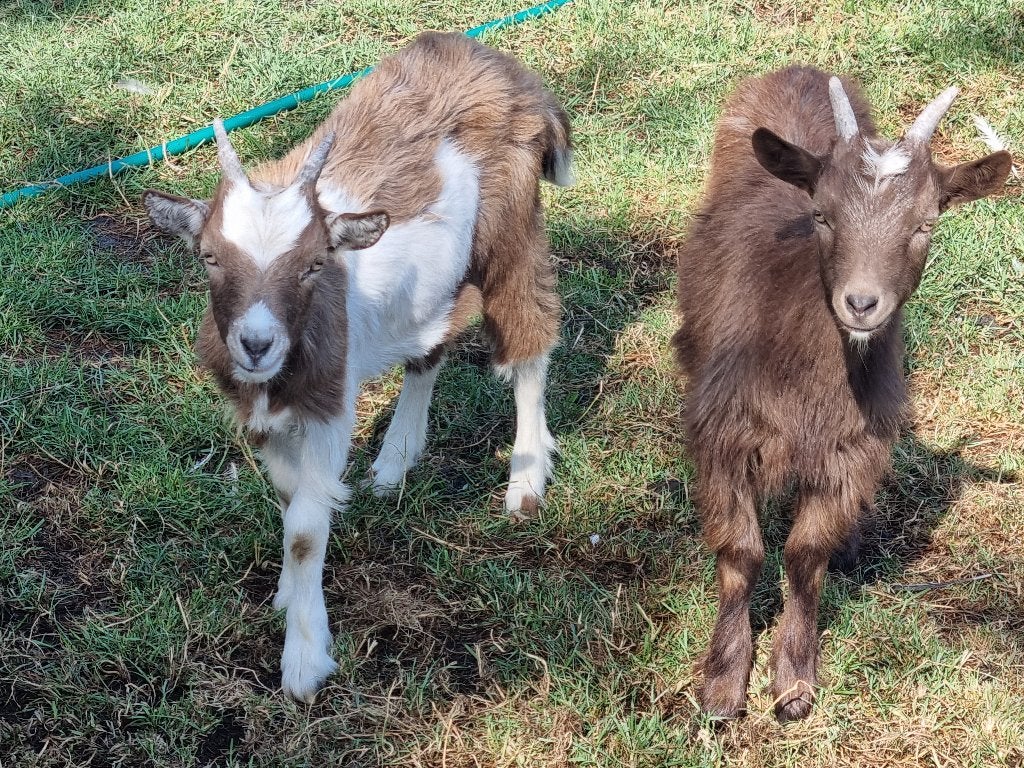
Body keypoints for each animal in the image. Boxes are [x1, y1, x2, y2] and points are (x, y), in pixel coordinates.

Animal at [143, 32, 572, 702]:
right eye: (208, 256)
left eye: (315, 263)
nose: (257, 344)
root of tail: (507, 70)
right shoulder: (263, 415)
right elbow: (291, 497)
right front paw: (286, 596)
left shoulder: (330, 407)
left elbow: (304, 528)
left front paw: (304, 660)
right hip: (435, 283)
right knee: (430, 347)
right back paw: (395, 462)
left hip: (512, 230)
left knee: (529, 337)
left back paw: (525, 482)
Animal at [671, 66, 1011, 722]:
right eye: (822, 215)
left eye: (926, 223)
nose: (860, 303)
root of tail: (799, 72)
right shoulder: (726, 431)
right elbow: (741, 553)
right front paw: (723, 684)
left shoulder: (852, 447)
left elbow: (805, 556)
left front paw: (793, 681)